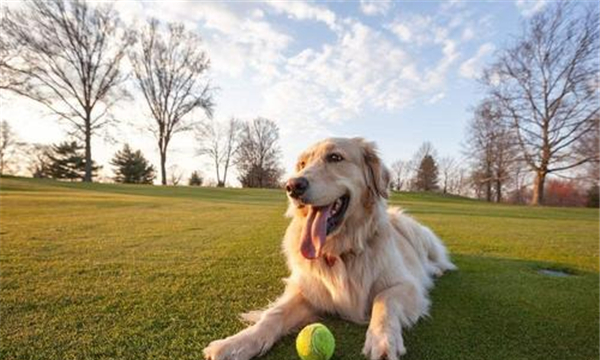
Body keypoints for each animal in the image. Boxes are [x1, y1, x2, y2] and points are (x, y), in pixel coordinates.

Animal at [204, 138, 458, 360]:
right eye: (302, 164)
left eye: (335, 157)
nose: (292, 186)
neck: (340, 252)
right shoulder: (308, 291)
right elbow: (272, 315)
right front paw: (236, 343)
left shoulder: (406, 285)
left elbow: (383, 300)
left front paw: (382, 340)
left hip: (415, 232)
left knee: (437, 260)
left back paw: (436, 270)